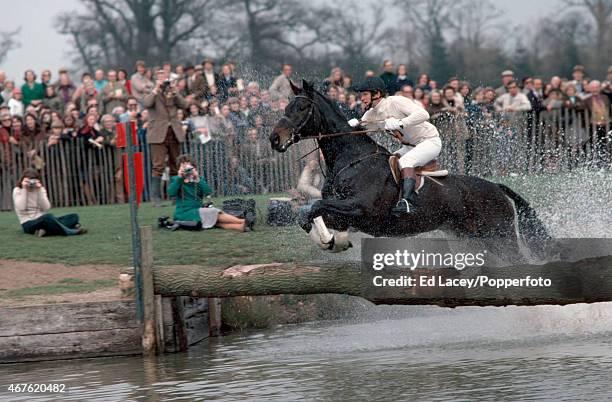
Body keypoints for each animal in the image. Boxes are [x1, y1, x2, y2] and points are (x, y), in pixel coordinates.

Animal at [268, 80, 548, 260]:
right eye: (286, 107)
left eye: (302, 108)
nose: (274, 139)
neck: (352, 160)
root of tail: (497, 188)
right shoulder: (347, 214)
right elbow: (309, 213)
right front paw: (332, 241)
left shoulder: (360, 208)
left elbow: (313, 207)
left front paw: (331, 241)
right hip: (469, 237)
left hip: (499, 235)